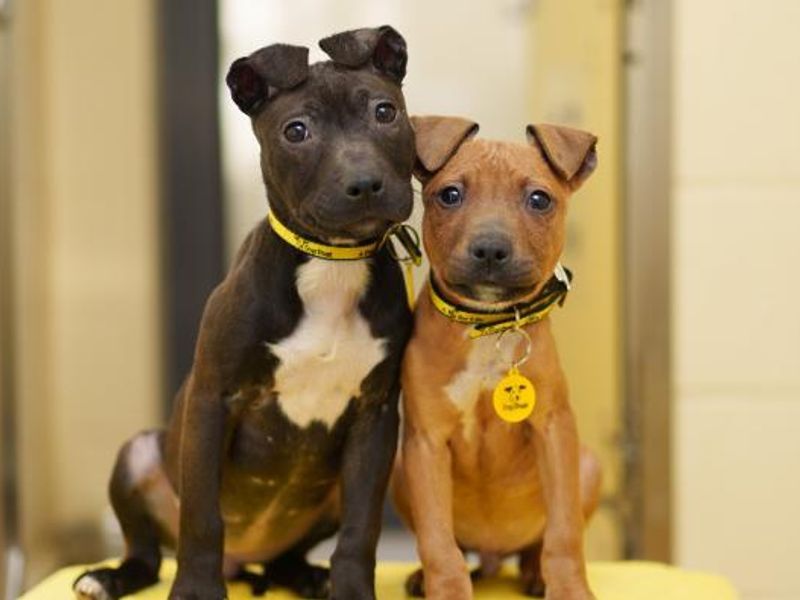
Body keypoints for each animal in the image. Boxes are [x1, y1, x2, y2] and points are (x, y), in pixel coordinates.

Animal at [75, 25, 416, 596]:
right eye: (296, 131)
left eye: (385, 112)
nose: (366, 183)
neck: (331, 268)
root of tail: (245, 559)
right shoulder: (213, 399)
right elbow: (202, 519)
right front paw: (195, 589)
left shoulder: (376, 418)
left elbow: (360, 530)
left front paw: (349, 589)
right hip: (138, 454)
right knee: (147, 551)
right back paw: (110, 576)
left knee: (286, 557)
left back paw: (307, 577)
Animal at [390, 115, 604, 596]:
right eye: (450, 195)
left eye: (539, 199)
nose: (489, 249)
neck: (489, 328)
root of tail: (492, 556)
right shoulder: (425, 443)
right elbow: (437, 542)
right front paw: (446, 590)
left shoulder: (553, 429)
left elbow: (565, 533)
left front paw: (569, 589)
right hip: (399, 473)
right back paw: (421, 578)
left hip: (588, 465)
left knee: (535, 546)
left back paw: (535, 573)